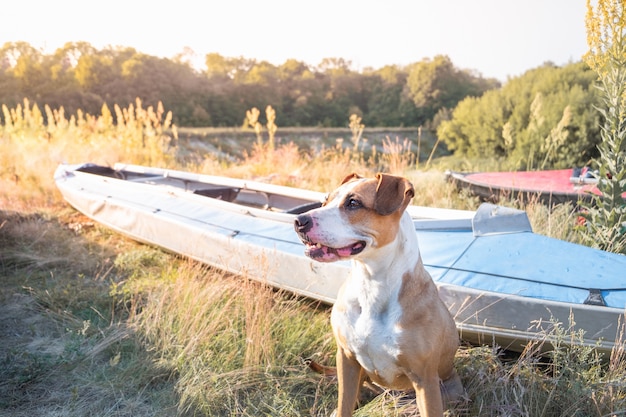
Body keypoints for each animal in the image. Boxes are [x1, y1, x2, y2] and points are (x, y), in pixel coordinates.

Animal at [294, 172, 464, 416]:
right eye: (325, 201)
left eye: (353, 203)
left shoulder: (425, 378)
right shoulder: (346, 358)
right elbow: (344, 403)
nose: (299, 221)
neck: (371, 284)